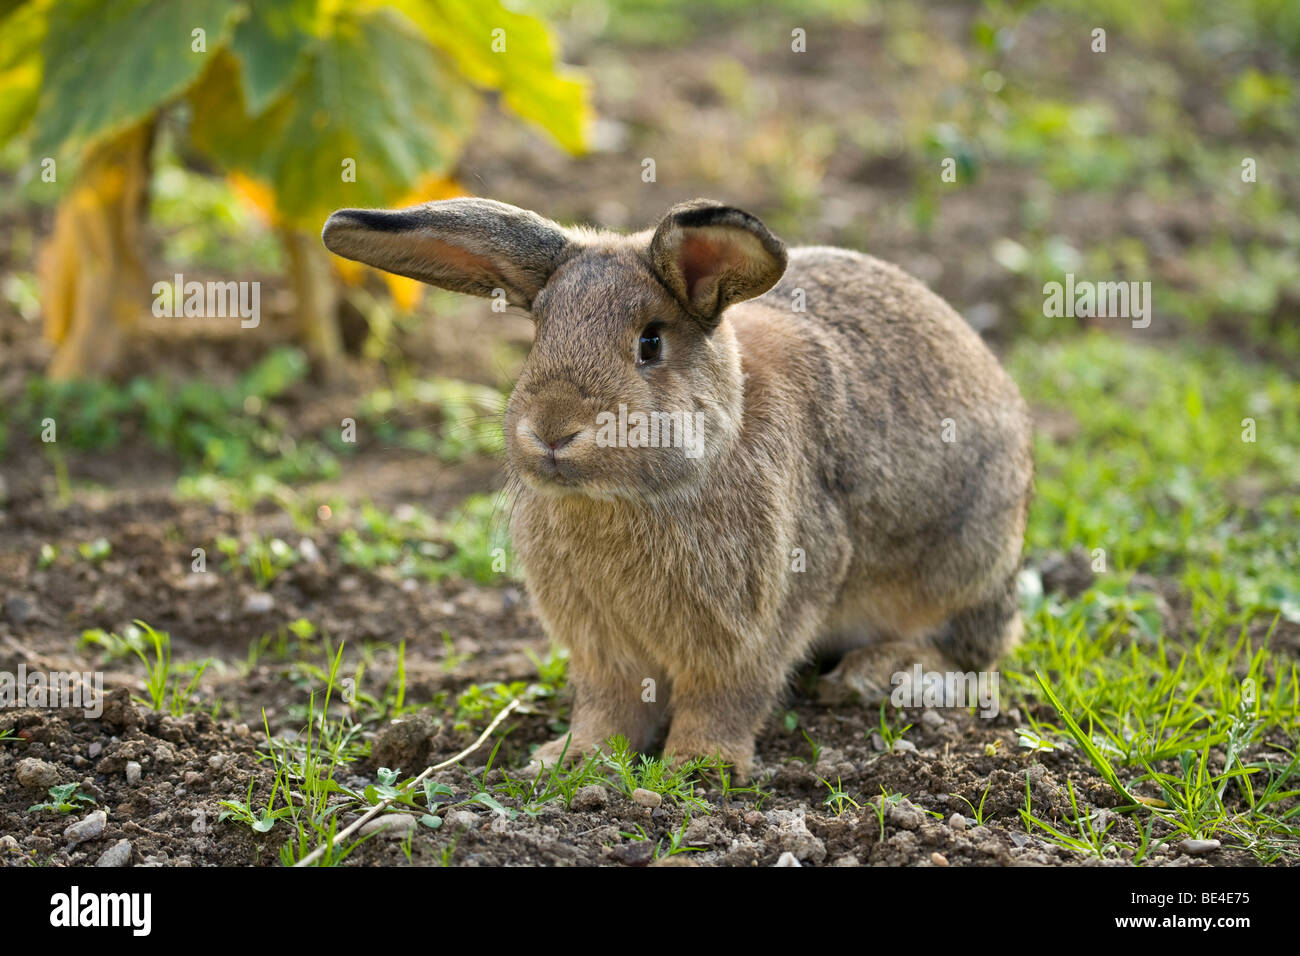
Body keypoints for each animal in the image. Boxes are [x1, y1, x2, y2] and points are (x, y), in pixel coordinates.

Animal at [319, 196, 1029, 780]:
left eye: (651, 341)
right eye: (538, 333)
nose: (551, 430)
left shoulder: (759, 620)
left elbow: (727, 696)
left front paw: (699, 766)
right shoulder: (602, 648)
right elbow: (609, 705)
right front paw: (572, 758)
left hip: (966, 563)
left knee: (967, 655)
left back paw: (871, 675)